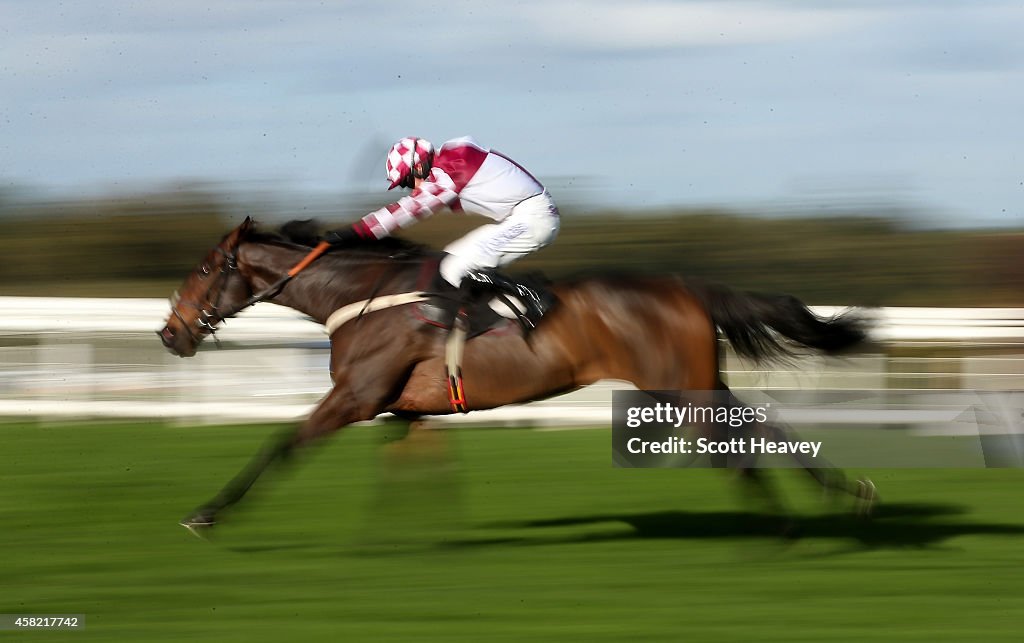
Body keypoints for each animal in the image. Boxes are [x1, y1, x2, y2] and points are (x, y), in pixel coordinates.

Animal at [157, 218, 872, 536]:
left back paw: (788, 519)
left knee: (740, 435)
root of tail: (687, 287)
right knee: (758, 422)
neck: (361, 295)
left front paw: (205, 512)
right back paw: (840, 494)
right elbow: (419, 469)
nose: (170, 333)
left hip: (678, 384)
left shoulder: (356, 397)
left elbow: (281, 444)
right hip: (688, 381)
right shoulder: (407, 409)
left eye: (203, 270)